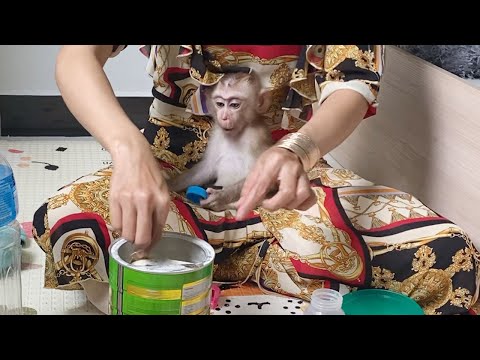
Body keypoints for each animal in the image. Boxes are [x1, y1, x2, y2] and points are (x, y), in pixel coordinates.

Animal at [169, 71, 274, 211]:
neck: (237, 133)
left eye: (234, 105)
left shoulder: (257, 137)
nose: (224, 117)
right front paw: (168, 184)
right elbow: (207, 167)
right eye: (220, 104)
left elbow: (264, 176)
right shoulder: (217, 135)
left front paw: (219, 197)